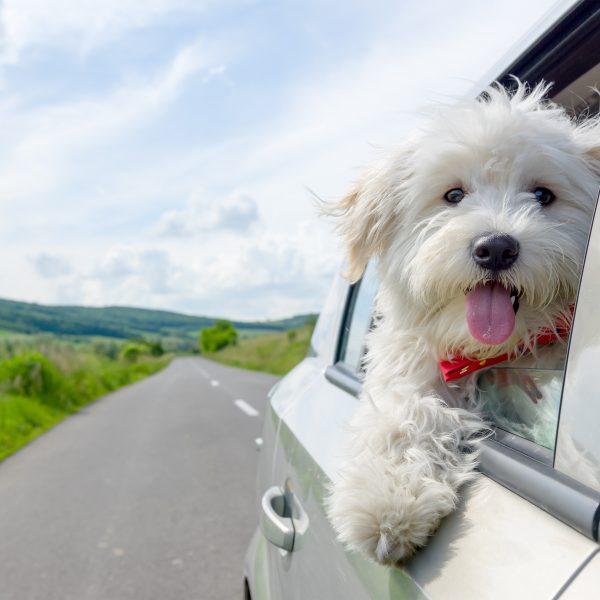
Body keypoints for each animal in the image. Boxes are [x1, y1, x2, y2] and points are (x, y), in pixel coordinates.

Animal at [328, 82, 600, 564]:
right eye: (453, 195)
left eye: (543, 196)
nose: (495, 248)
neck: (494, 352)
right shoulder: (411, 365)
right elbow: (404, 412)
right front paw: (385, 500)